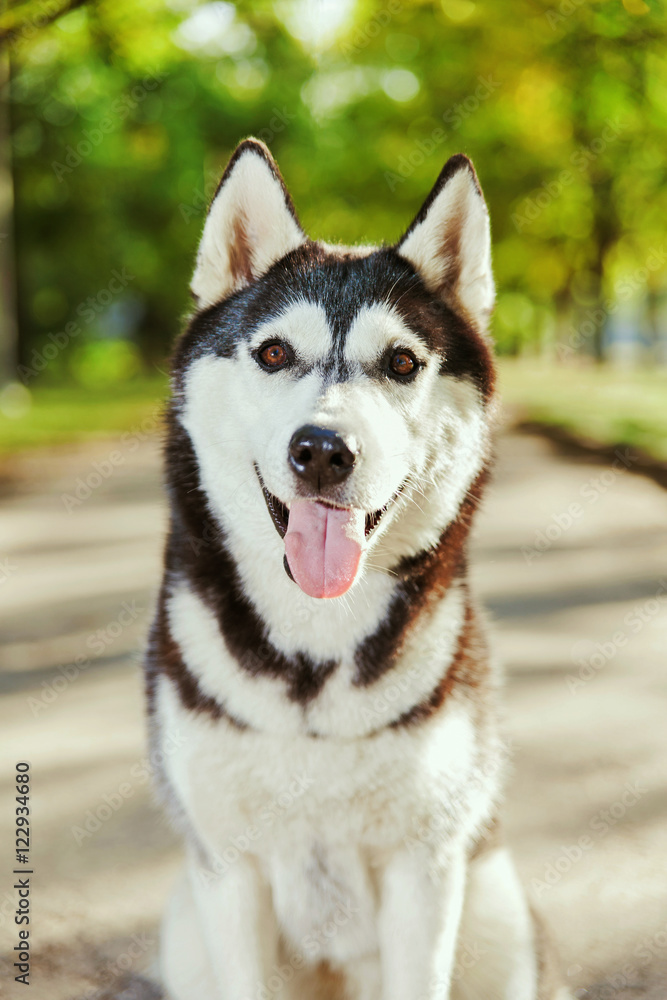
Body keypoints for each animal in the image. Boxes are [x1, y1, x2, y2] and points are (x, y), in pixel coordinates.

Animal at [147, 141, 568, 1000]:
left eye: (401, 362)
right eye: (274, 353)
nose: (320, 450)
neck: (316, 647)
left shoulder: (424, 871)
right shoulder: (227, 877)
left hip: (495, 912)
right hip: (185, 926)